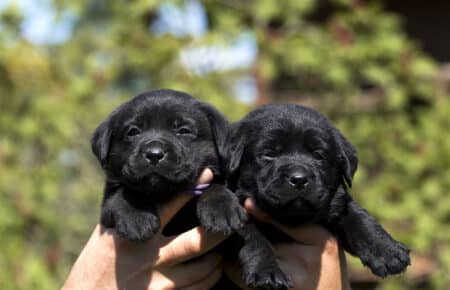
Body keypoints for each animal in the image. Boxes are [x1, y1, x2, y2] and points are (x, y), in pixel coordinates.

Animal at [91, 89, 246, 242]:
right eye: (133, 132)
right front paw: (136, 215)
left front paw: (221, 207)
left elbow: (213, 185)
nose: (154, 154)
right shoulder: (106, 212)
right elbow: (121, 193)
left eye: (183, 131)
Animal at [225, 104, 412, 290]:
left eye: (318, 155)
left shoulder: (337, 201)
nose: (299, 179)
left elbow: (357, 215)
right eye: (269, 154)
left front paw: (387, 250)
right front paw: (267, 272)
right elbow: (252, 235)